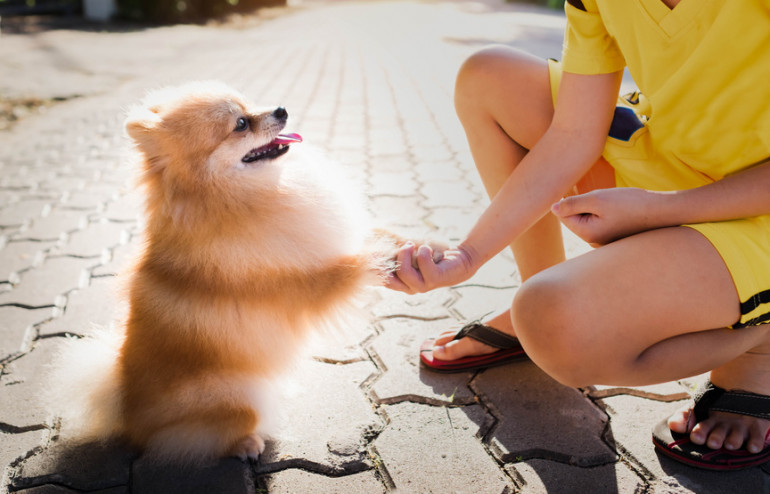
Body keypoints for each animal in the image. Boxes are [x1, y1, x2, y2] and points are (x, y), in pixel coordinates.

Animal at [49, 81, 444, 464]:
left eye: (249, 102)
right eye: (240, 124)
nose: (281, 109)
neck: (243, 198)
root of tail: (127, 414)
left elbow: (383, 233)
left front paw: (430, 248)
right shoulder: (298, 287)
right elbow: (347, 268)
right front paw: (386, 260)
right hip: (234, 393)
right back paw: (246, 444)